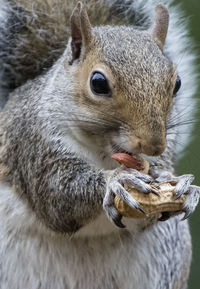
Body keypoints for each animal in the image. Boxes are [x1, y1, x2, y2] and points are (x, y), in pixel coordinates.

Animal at [0, 0, 200, 286]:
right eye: (98, 83)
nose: (154, 146)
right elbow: (58, 195)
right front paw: (117, 181)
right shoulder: (33, 144)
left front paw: (181, 184)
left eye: (177, 83)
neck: (103, 154)